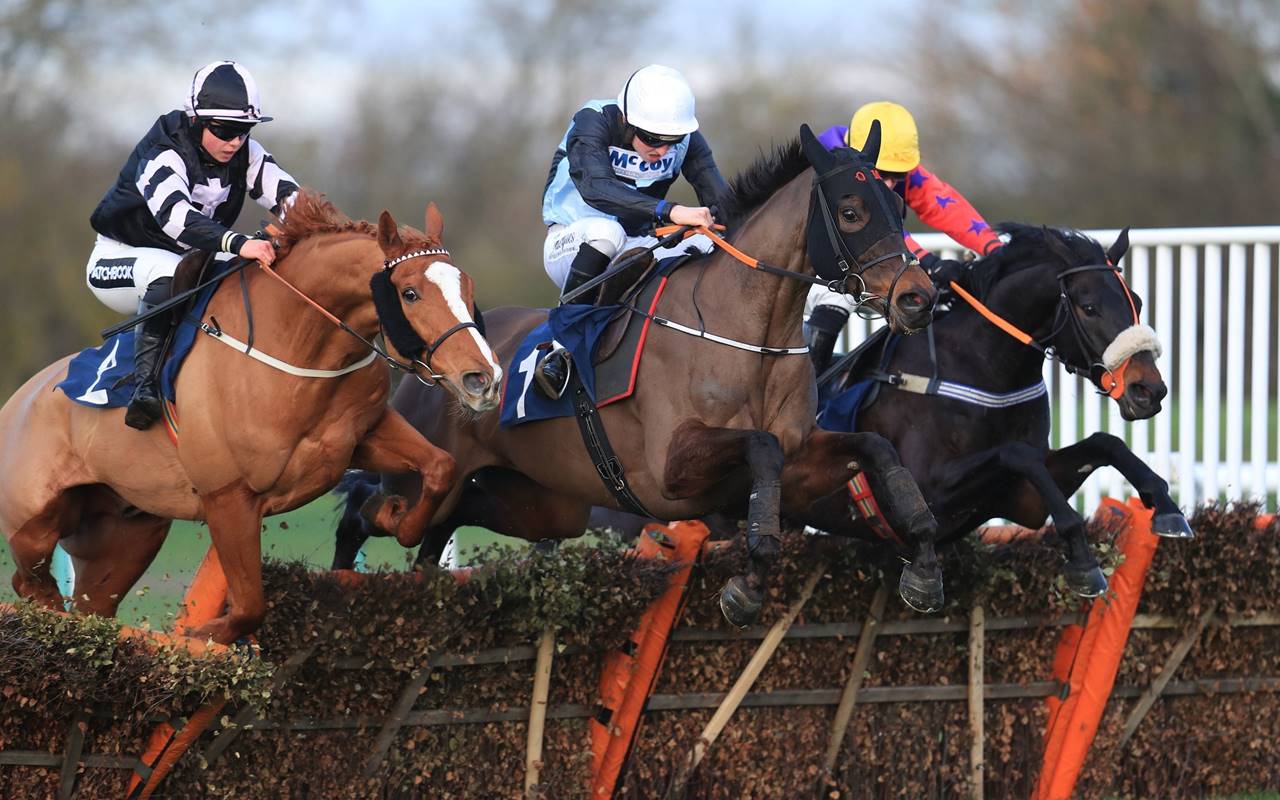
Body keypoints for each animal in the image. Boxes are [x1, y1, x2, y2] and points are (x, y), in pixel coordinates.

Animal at [0, 191, 500, 644]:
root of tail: (19, 400)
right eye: (410, 293)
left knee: (92, 606)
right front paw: (205, 632)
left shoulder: (360, 438)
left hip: (125, 537)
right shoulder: (229, 497)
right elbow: (248, 606)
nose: (483, 378)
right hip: (35, 524)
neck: (297, 349)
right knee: (30, 581)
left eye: (469, 288)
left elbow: (440, 467)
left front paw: (388, 513)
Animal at [335, 124, 942, 627]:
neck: (749, 334)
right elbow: (762, 447)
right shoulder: (672, 468)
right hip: (426, 478)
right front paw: (747, 585)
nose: (918, 298)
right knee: (371, 508)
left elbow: (875, 448)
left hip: (537, 505)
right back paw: (341, 578)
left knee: (438, 531)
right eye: (851, 211)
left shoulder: (800, 461)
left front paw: (923, 563)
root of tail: (431, 371)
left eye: (898, 206)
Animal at [800, 223, 1191, 610]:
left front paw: (1167, 507)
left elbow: (1105, 443)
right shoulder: (926, 490)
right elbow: (1018, 453)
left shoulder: (1025, 501)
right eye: (1090, 307)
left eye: (1137, 302)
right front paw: (1083, 559)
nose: (1148, 390)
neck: (983, 368)